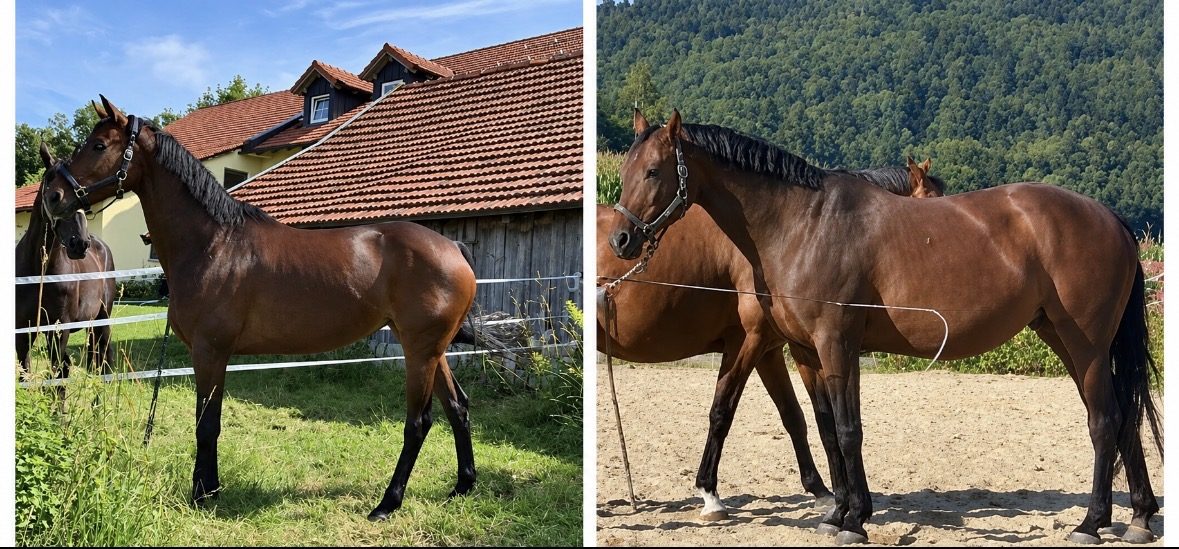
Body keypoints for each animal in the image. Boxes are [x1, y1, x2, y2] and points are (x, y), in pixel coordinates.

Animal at [16, 142, 116, 378]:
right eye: (53, 194)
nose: (79, 243)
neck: (38, 273)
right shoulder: (23, 332)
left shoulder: (59, 330)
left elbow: (57, 374)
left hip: (103, 318)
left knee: (105, 356)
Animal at [40, 96, 511, 521]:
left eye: (98, 145)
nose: (54, 195)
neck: (214, 243)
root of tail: (451, 247)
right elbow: (209, 420)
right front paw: (210, 488)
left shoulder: (210, 352)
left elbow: (206, 423)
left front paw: (203, 493)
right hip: (433, 350)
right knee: (458, 408)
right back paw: (462, 486)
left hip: (419, 352)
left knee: (419, 421)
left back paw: (387, 504)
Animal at [597, 155, 945, 520]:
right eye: (930, 208)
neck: (787, 235)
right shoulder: (750, 341)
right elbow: (723, 412)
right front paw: (710, 495)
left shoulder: (778, 349)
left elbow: (799, 417)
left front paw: (822, 492)